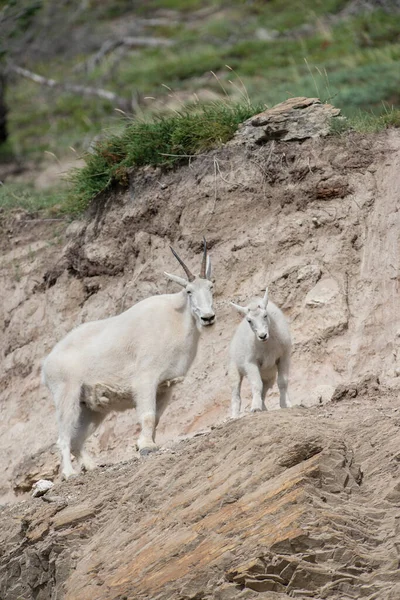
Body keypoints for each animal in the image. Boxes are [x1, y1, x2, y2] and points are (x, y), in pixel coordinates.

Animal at [41, 239, 214, 478]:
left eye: (211, 286)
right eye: (189, 291)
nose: (208, 317)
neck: (176, 320)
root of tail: (47, 364)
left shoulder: (165, 387)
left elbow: (156, 418)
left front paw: (146, 444)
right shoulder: (146, 379)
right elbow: (148, 415)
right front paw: (146, 447)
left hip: (91, 408)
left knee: (77, 440)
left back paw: (91, 466)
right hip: (66, 395)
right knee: (63, 438)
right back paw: (69, 473)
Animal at [228, 290, 290, 420]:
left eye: (265, 315)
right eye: (249, 320)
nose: (262, 336)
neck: (267, 345)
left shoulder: (283, 356)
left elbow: (283, 382)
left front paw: (286, 404)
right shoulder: (251, 362)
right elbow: (256, 384)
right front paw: (255, 408)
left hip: (268, 377)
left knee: (263, 391)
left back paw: (264, 409)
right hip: (233, 368)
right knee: (236, 394)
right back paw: (235, 416)